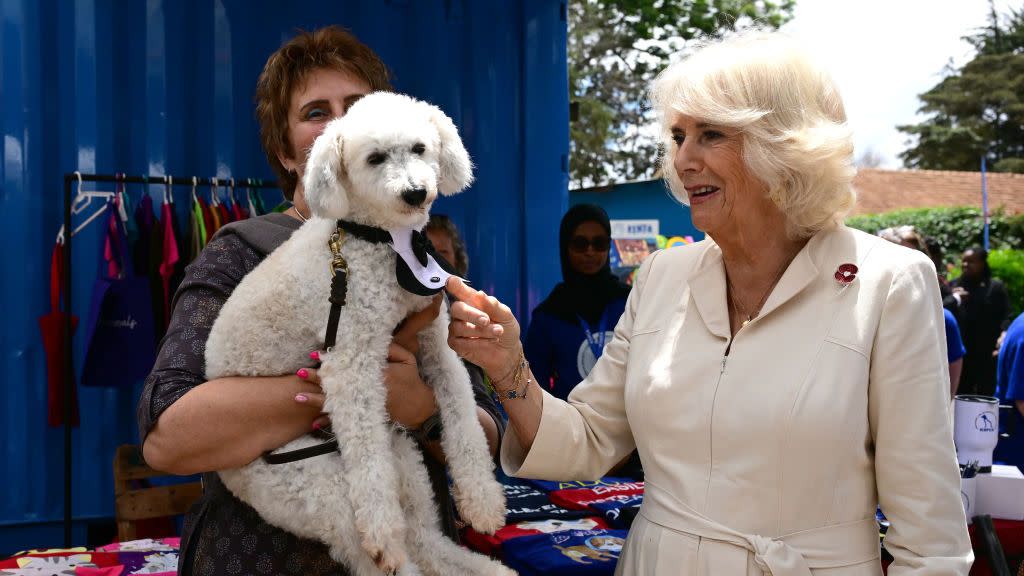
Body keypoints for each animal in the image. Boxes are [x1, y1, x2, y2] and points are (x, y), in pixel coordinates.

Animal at [204, 91, 512, 569]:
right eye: (375, 158)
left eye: (420, 149)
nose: (415, 192)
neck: (384, 244)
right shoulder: (350, 363)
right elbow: (366, 454)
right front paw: (382, 526)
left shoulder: (435, 344)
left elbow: (464, 417)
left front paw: (481, 500)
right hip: (316, 489)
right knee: (390, 553)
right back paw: (389, 540)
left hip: (404, 458)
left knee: (427, 540)